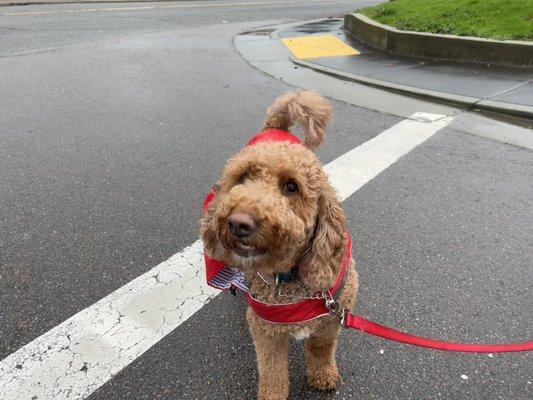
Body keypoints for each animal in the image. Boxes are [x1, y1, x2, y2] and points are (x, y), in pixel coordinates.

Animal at [200, 90, 358, 400]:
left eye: (291, 186)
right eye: (243, 177)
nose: (238, 223)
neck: (289, 278)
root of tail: (275, 127)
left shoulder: (332, 321)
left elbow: (321, 351)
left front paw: (322, 376)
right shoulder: (265, 331)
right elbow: (272, 370)